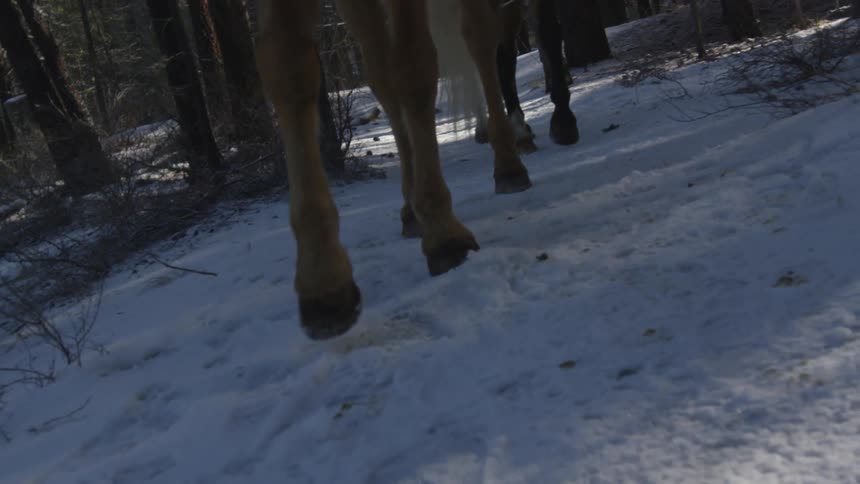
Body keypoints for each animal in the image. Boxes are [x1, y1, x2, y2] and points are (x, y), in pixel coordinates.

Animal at [255, 0, 533, 340]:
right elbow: (289, 68)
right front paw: (323, 276)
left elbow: (414, 63)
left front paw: (443, 231)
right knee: (384, 73)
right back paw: (412, 210)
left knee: (482, 41)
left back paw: (509, 162)